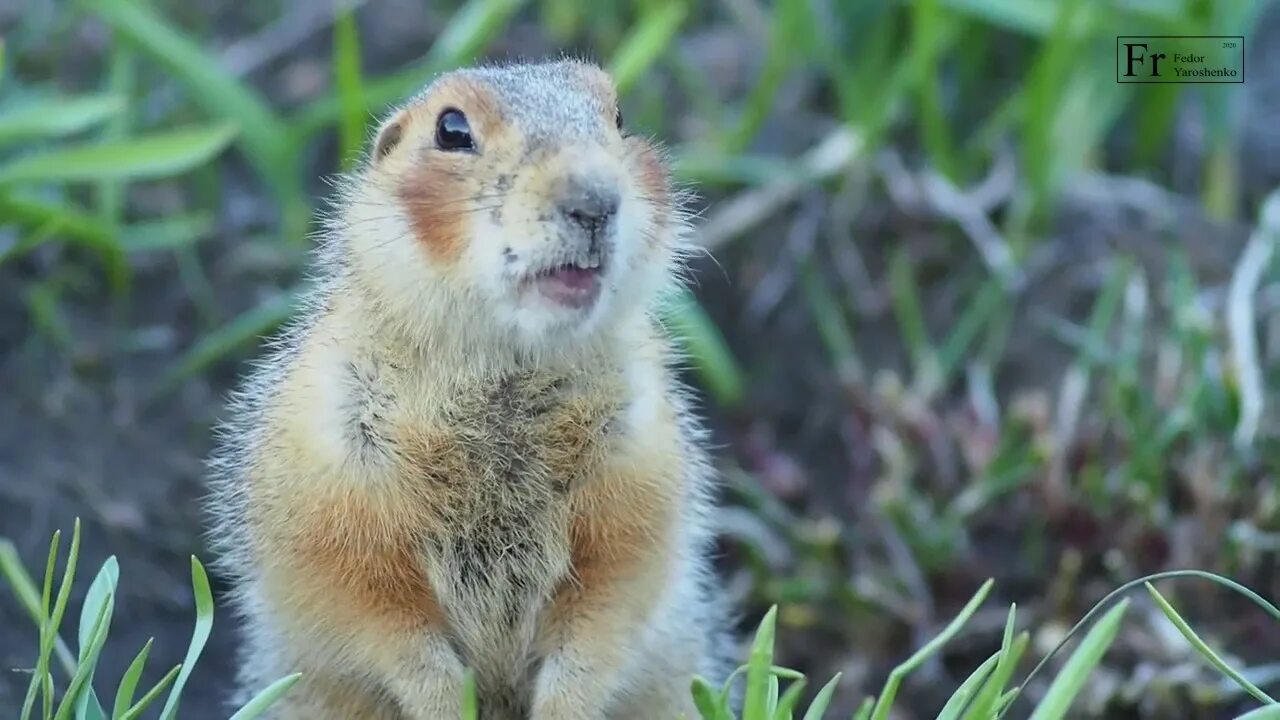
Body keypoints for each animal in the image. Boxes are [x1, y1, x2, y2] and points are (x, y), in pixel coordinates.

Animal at [207, 58, 742, 712]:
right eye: (452, 129)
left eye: (619, 117)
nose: (594, 200)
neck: (504, 371)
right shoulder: (325, 459)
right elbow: (365, 607)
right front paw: (445, 702)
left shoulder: (643, 459)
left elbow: (614, 599)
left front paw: (564, 706)